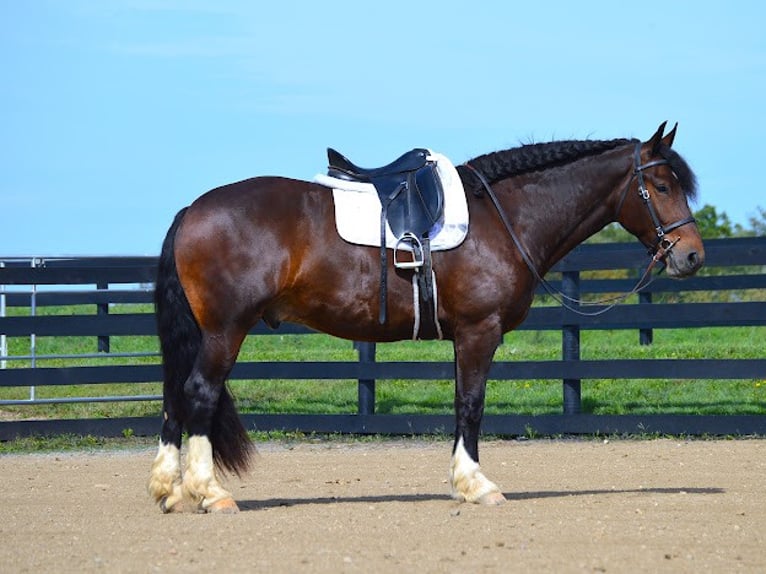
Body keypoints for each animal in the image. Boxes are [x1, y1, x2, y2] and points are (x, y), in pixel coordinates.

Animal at [147, 120, 704, 512]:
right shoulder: (480, 332)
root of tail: (192, 211)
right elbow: (471, 405)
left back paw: (168, 489)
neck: (502, 216)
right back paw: (210, 492)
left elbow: (462, 403)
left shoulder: (465, 336)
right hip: (225, 331)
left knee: (176, 395)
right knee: (199, 393)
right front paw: (477, 485)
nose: (692, 255)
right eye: (660, 184)